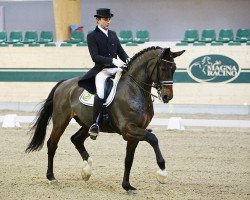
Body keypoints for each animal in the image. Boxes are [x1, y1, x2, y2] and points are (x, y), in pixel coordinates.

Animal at [25, 47, 184, 194]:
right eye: (163, 68)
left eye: (174, 68)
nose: (167, 97)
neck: (134, 90)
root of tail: (64, 83)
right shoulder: (128, 129)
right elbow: (153, 138)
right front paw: (162, 172)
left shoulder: (135, 132)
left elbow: (129, 159)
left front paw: (127, 186)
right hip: (61, 120)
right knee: (52, 144)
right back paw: (51, 177)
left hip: (87, 124)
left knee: (76, 139)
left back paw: (86, 171)